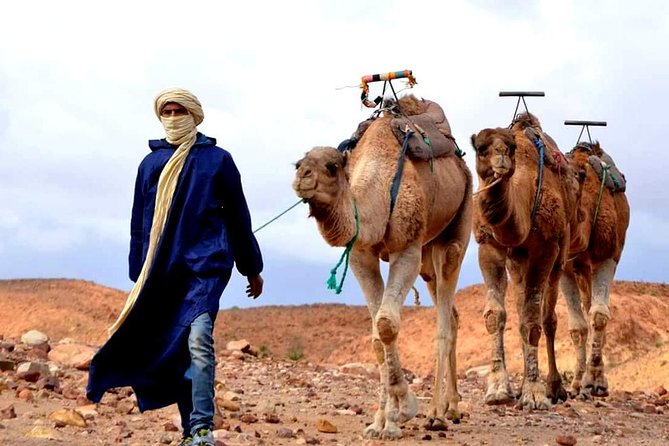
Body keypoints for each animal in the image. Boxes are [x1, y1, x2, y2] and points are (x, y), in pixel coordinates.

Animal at [292, 95, 472, 438]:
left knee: (444, 322)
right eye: (298, 163)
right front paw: (381, 421)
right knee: (454, 316)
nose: (301, 177)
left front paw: (404, 409)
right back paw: (453, 408)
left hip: (456, 230)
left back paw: (437, 413)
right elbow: (377, 335)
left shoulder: (407, 249)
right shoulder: (362, 255)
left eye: (331, 167)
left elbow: (387, 324)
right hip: (428, 256)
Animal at [470, 113, 582, 409]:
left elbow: (533, 323)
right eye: (481, 148)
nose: (501, 159)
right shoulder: (489, 246)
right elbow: (495, 315)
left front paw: (534, 393)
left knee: (547, 318)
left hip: (560, 256)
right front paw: (498, 389)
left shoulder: (545, 248)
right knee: (521, 307)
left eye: (510, 148)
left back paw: (554, 388)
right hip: (518, 262)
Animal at [561, 141, 630, 397]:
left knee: (594, 308)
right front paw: (577, 382)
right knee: (585, 306)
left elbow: (599, 315)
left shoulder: (608, 255)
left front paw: (596, 381)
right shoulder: (566, 266)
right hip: (581, 269)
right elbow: (577, 326)